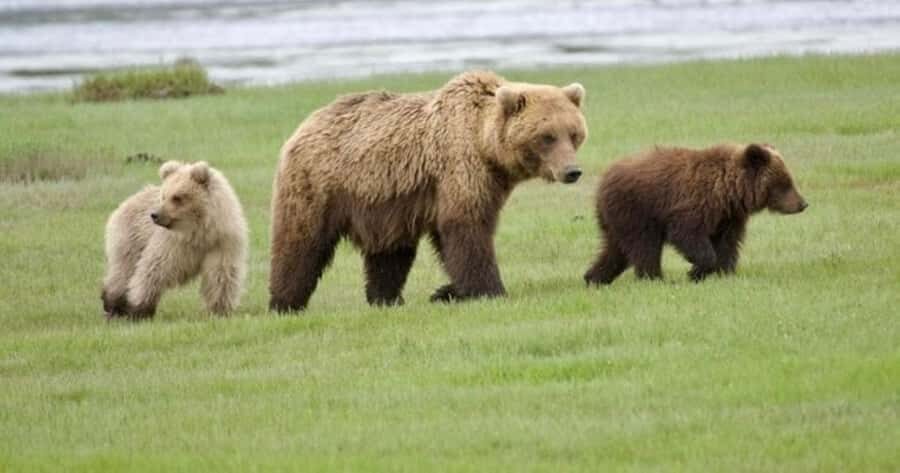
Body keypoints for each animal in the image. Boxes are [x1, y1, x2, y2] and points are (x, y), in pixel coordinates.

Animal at [102, 161, 248, 319]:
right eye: (164, 196)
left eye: (177, 197)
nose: (154, 215)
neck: (200, 233)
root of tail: (131, 198)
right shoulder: (173, 244)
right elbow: (153, 269)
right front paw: (139, 309)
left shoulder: (222, 243)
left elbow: (220, 275)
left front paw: (219, 310)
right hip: (131, 237)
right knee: (123, 270)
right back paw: (113, 305)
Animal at [269, 70, 588, 312]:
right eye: (547, 136)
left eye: (574, 133)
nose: (572, 171)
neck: (485, 145)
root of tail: (303, 125)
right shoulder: (459, 167)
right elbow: (466, 229)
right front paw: (490, 290)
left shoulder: (484, 182)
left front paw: (447, 291)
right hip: (318, 184)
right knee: (301, 242)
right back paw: (285, 303)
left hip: (385, 203)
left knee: (390, 253)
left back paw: (386, 298)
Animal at [583, 143, 807, 285]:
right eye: (785, 182)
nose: (803, 203)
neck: (729, 193)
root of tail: (603, 180)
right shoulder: (694, 205)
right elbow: (688, 236)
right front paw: (696, 272)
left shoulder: (728, 218)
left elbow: (728, 244)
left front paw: (725, 273)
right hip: (636, 212)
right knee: (645, 247)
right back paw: (655, 278)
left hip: (617, 220)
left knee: (616, 250)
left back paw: (593, 278)